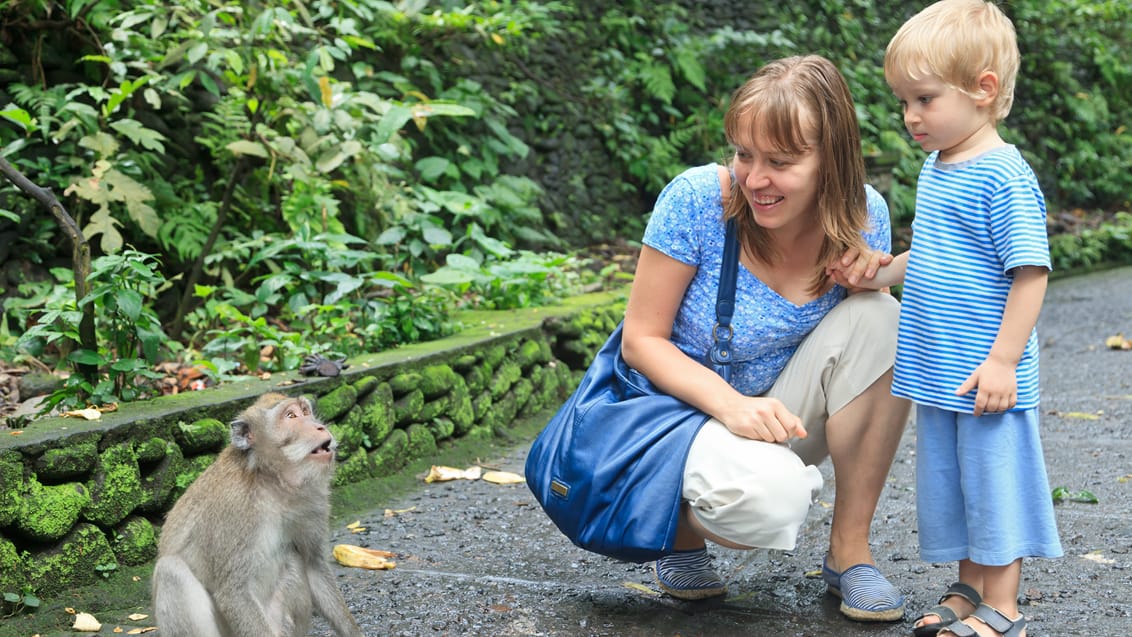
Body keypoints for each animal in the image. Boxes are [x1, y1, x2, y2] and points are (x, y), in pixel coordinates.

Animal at [150, 393, 362, 637]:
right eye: (291, 416)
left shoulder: (310, 500)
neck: (270, 482)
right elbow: (234, 593)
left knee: (293, 555)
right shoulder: (233, 508)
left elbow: (313, 565)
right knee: (170, 571)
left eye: (305, 412)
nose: (319, 427)